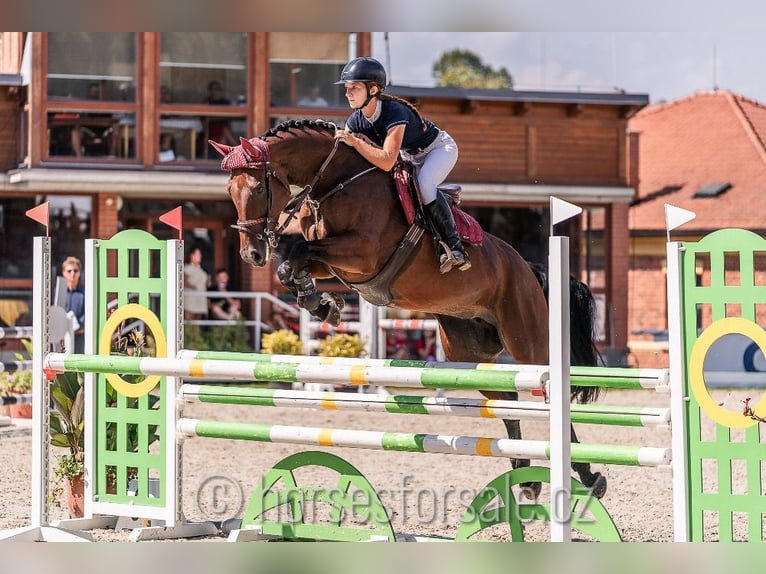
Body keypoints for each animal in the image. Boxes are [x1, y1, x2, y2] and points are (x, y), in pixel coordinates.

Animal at [210, 118, 608, 500]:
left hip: (527, 340)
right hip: (467, 351)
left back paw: (589, 476)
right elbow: (292, 264)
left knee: (547, 394)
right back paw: (526, 476)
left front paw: (321, 303)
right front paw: (322, 305)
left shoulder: (360, 254)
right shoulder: (334, 263)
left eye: (258, 189)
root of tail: (528, 266)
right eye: (229, 192)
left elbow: (297, 250)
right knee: (507, 401)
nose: (252, 254)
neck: (335, 181)